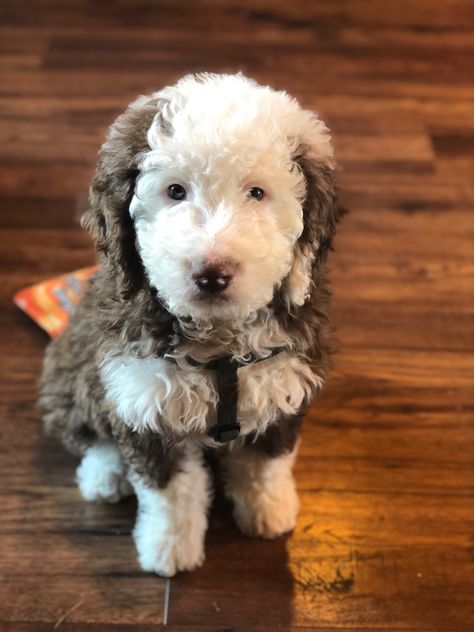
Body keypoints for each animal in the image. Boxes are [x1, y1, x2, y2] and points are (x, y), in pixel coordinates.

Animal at [39, 71, 342, 576]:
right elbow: (169, 495)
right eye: (175, 191)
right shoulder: (147, 406)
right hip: (71, 367)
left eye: (256, 192)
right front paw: (169, 549)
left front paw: (268, 511)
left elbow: (266, 464)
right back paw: (104, 475)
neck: (220, 344)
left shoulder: (284, 384)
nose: (212, 275)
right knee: (90, 430)